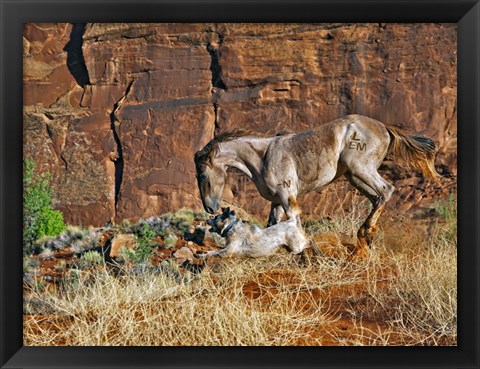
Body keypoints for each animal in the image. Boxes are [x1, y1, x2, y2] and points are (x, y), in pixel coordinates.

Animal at [194, 113, 438, 254]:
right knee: (377, 197)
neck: (262, 157)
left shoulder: (287, 198)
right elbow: (272, 227)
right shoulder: (276, 202)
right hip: (354, 176)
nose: (209, 208)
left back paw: (364, 234)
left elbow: (293, 225)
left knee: (386, 190)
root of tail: (384, 128)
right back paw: (366, 239)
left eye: (202, 175)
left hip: (361, 169)